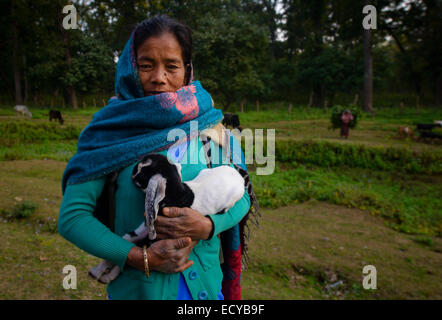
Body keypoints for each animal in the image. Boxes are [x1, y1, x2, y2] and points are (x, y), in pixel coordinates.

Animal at [89, 152, 245, 282]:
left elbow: (134, 245)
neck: (179, 195)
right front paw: (102, 272)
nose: (133, 171)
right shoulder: (146, 227)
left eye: (142, 173)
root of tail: (239, 177)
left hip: (234, 198)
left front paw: (104, 274)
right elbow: (128, 238)